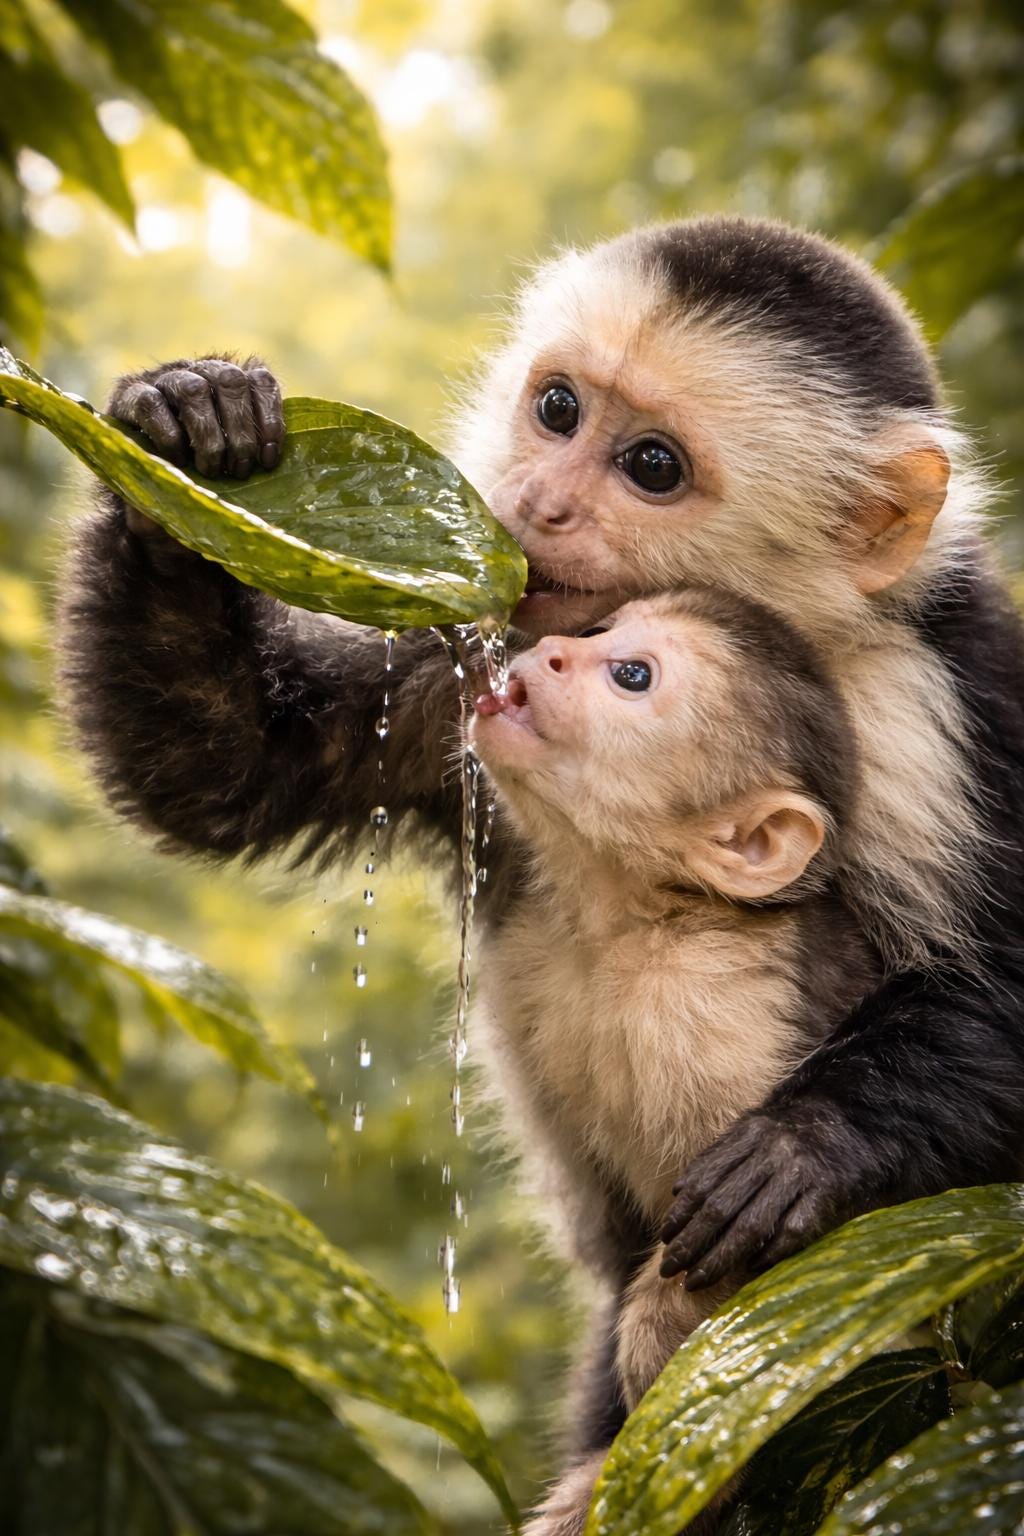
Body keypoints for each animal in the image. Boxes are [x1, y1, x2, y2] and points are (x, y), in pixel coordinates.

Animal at [467, 585, 880, 1534]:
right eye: (593, 632)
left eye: (631, 676)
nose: (547, 654)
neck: (642, 918)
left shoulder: (716, 1006)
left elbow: (769, 1249)